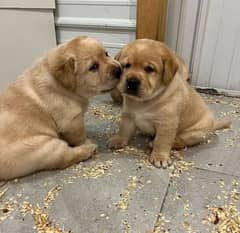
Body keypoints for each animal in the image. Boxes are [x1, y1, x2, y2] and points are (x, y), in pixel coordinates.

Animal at [0, 35, 121, 179]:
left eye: (106, 54)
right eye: (93, 67)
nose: (119, 70)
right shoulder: (72, 122)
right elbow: (80, 136)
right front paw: (86, 142)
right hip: (46, 147)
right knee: (66, 158)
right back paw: (89, 149)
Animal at [109, 39, 231, 167]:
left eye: (150, 69)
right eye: (126, 65)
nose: (132, 82)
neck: (144, 101)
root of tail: (213, 125)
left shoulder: (166, 124)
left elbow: (162, 142)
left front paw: (160, 157)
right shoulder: (128, 115)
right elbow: (124, 130)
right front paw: (117, 140)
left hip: (195, 132)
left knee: (181, 142)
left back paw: (157, 143)